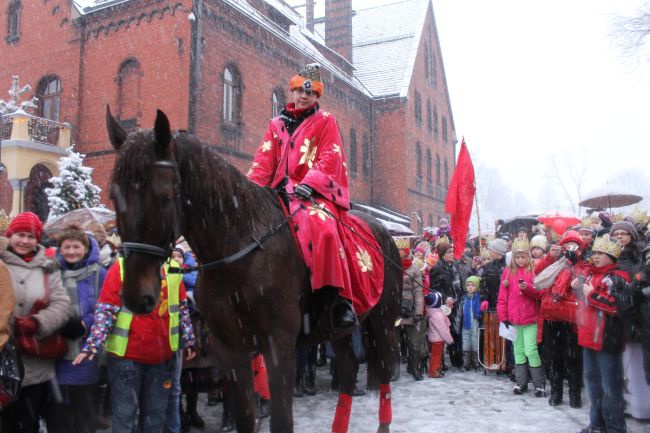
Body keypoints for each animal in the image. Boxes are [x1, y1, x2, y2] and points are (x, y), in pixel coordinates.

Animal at [105, 107, 400, 432]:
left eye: (163, 197)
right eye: (114, 196)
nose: (136, 295)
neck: (240, 254)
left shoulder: (278, 344)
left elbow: (281, 420)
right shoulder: (230, 348)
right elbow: (245, 415)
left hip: (384, 322)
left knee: (385, 375)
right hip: (340, 332)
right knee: (347, 375)